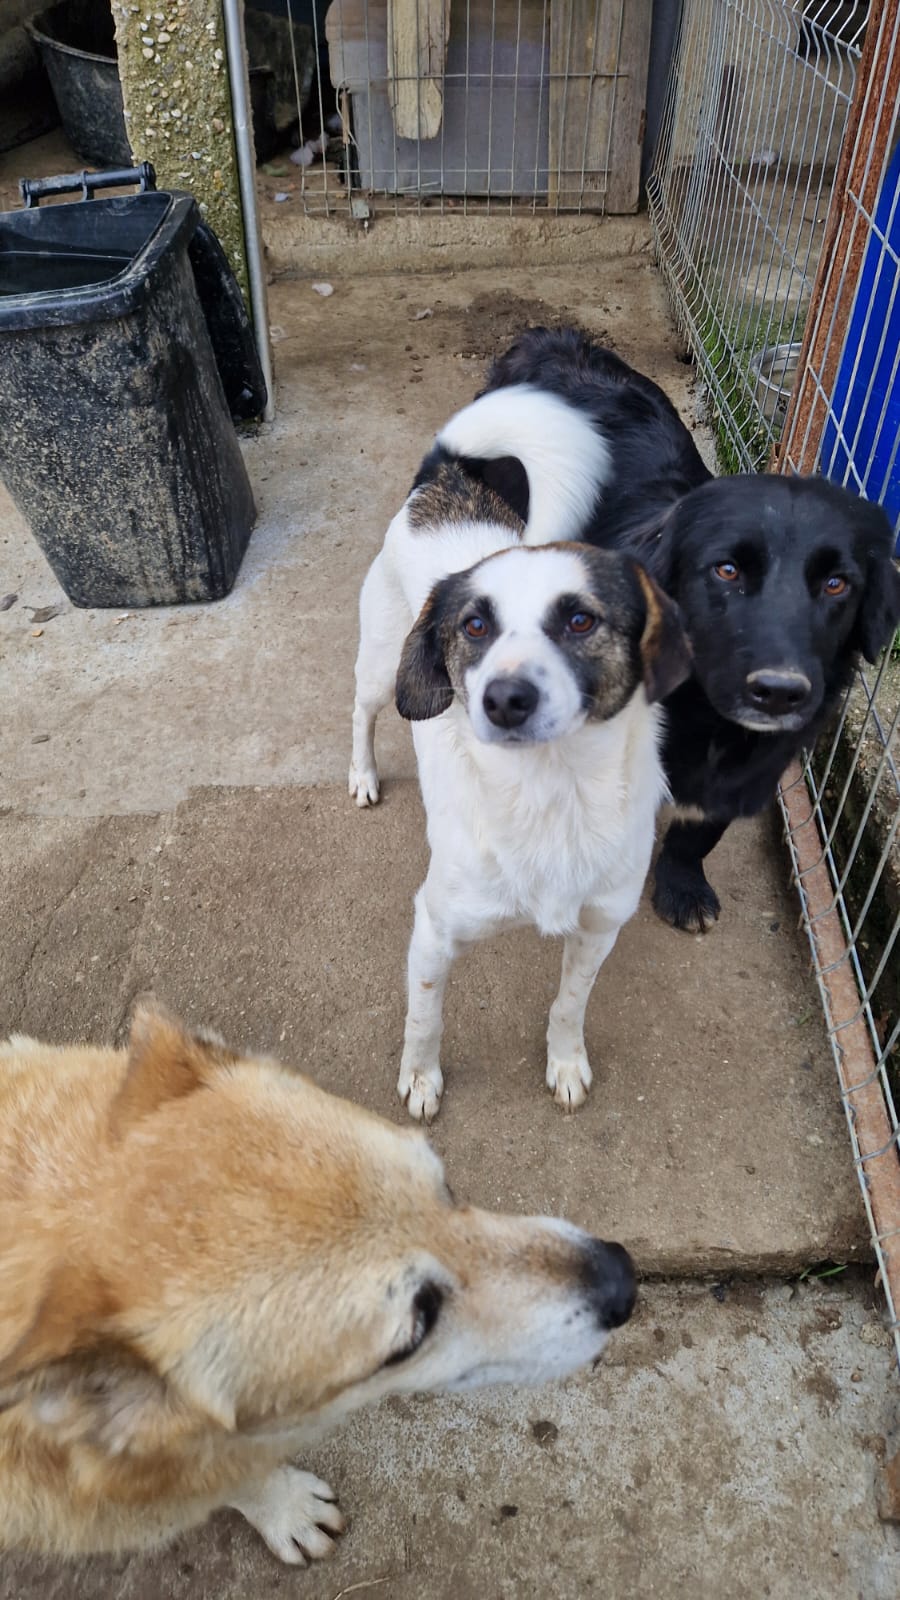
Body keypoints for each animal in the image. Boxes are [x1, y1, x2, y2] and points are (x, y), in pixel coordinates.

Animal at [350, 392, 691, 1119]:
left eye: (581, 620)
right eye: (474, 626)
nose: (505, 699)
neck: (551, 792)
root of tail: (448, 478)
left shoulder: (599, 928)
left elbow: (569, 1005)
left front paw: (565, 1063)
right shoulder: (434, 929)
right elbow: (425, 1019)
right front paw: (420, 1079)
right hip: (381, 670)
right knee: (360, 712)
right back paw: (361, 775)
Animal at [475, 326, 900, 932]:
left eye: (837, 584)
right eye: (726, 570)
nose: (779, 692)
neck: (705, 717)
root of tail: (550, 338)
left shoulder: (748, 772)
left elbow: (697, 833)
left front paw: (682, 885)